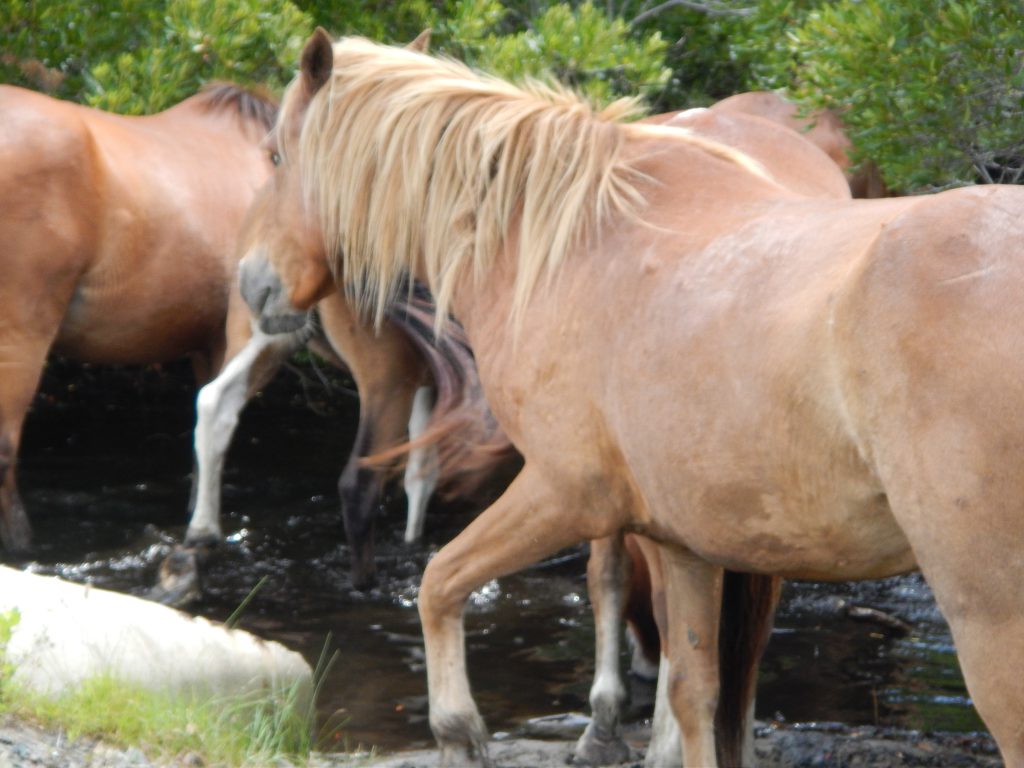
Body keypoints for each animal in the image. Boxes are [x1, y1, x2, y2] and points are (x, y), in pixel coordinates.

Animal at [244, 31, 1024, 767]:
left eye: (276, 156)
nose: (253, 284)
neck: (571, 244)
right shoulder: (684, 542)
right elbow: (694, 693)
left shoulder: (564, 493)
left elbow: (440, 581)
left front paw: (458, 730)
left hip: (987, 614)